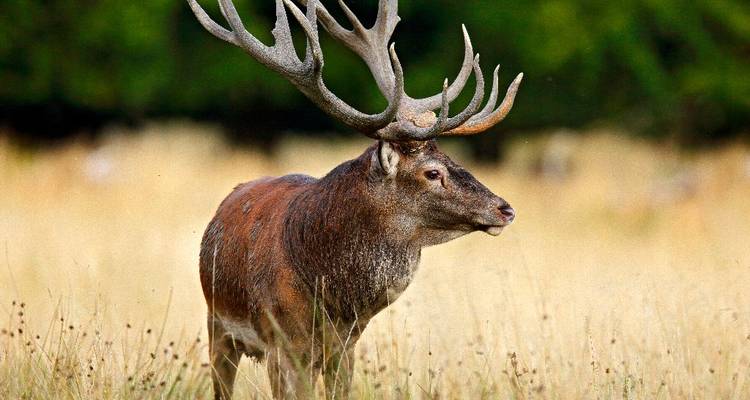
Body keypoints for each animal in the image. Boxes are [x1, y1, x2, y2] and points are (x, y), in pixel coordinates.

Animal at [187, 0, 522, 398]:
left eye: (453, 160)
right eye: (432, 173)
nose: (505, 208)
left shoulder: (346, 344)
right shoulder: (282, 344)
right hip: (217, 325)